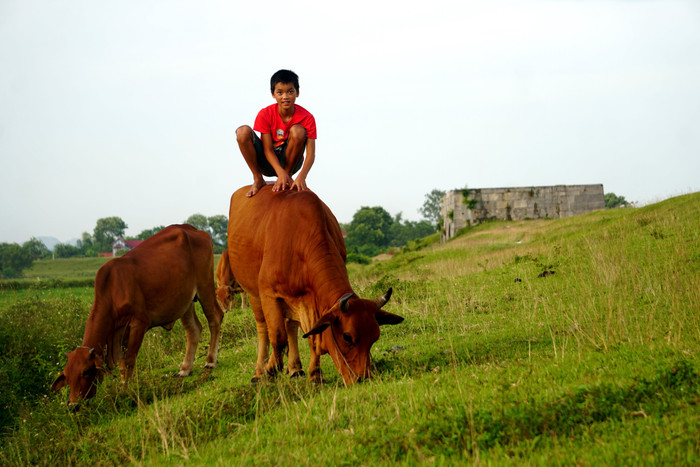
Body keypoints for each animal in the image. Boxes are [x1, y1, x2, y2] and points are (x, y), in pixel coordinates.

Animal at [50, 225, 223, 404]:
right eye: (67, 376)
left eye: (85, 372)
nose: (73, 404)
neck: (112, 290)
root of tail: (193, 229)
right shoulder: (118, 334)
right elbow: (121, 364)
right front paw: (122, 388)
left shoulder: (139, 323)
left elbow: (129, 361)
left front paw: (126, 391)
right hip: (185, 301)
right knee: (193, 330)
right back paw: (185, 369)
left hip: (205, 286)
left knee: (215, 318)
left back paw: (211, 361)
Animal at [227, 185, 404, 386]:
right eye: (347, 337)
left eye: (374, 338)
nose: (363, 379)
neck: (299, 240)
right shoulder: (269, 294)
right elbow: (278, 338)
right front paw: (271, 369)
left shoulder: (310, 303)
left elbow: (311, 338)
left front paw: (315, 375)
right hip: (252, 293)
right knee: (263, 329)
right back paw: (259, 372)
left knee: (290, 326)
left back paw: (295, 368)